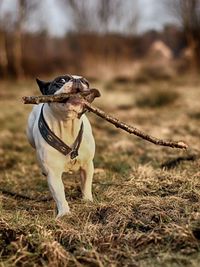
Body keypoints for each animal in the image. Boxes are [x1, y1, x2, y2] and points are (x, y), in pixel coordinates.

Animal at [26, 74, 100, 219]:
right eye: (61, 80)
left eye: (86, 82)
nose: (77, 80)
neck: (67, 124)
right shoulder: (53, 173)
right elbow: (59, 194)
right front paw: (64, 213)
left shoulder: (87, 165)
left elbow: (86, 184)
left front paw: (88, 200)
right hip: (30, 137)